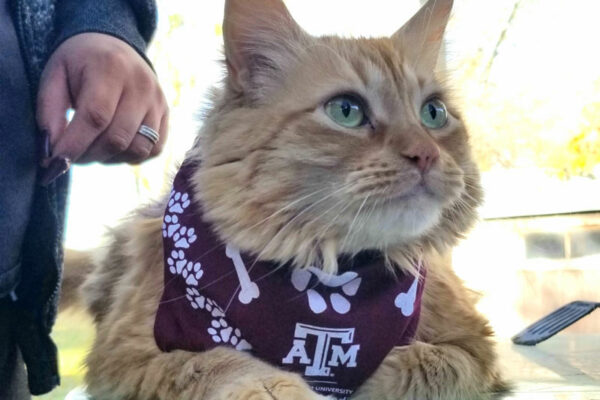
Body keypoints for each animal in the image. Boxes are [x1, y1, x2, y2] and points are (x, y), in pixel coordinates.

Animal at [65, 0, 506, 398]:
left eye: (434, 113)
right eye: (346, 110)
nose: (426, 154)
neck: (326, 279)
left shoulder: (475, 345)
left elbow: (421, 363)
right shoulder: (122, 355)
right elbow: (223, 363)